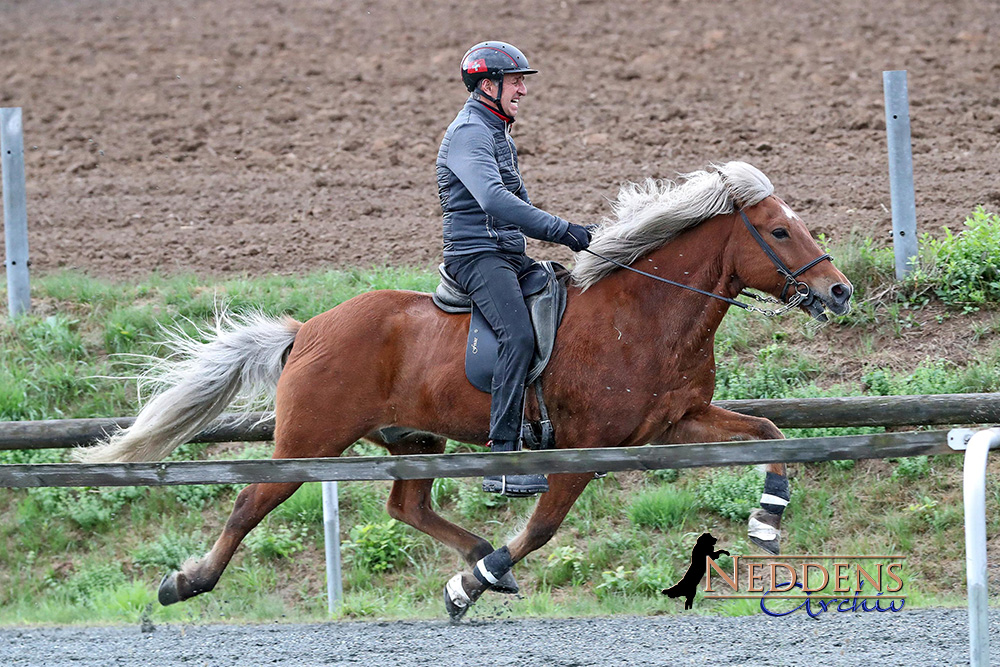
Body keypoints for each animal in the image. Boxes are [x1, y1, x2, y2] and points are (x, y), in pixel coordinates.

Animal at [78, 162, 852, 620]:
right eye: (780, 230)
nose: (838, 291)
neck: (645, 310)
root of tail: (309, 329)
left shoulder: (677, 422)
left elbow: (770, 435)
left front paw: (768, 520)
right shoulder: (584, 449)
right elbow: (542, 528)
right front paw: (467, 586)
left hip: (413, 438)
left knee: (406, 505)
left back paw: (477, 552)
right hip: (308, 441)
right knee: (249, 502)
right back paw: (186, 582)